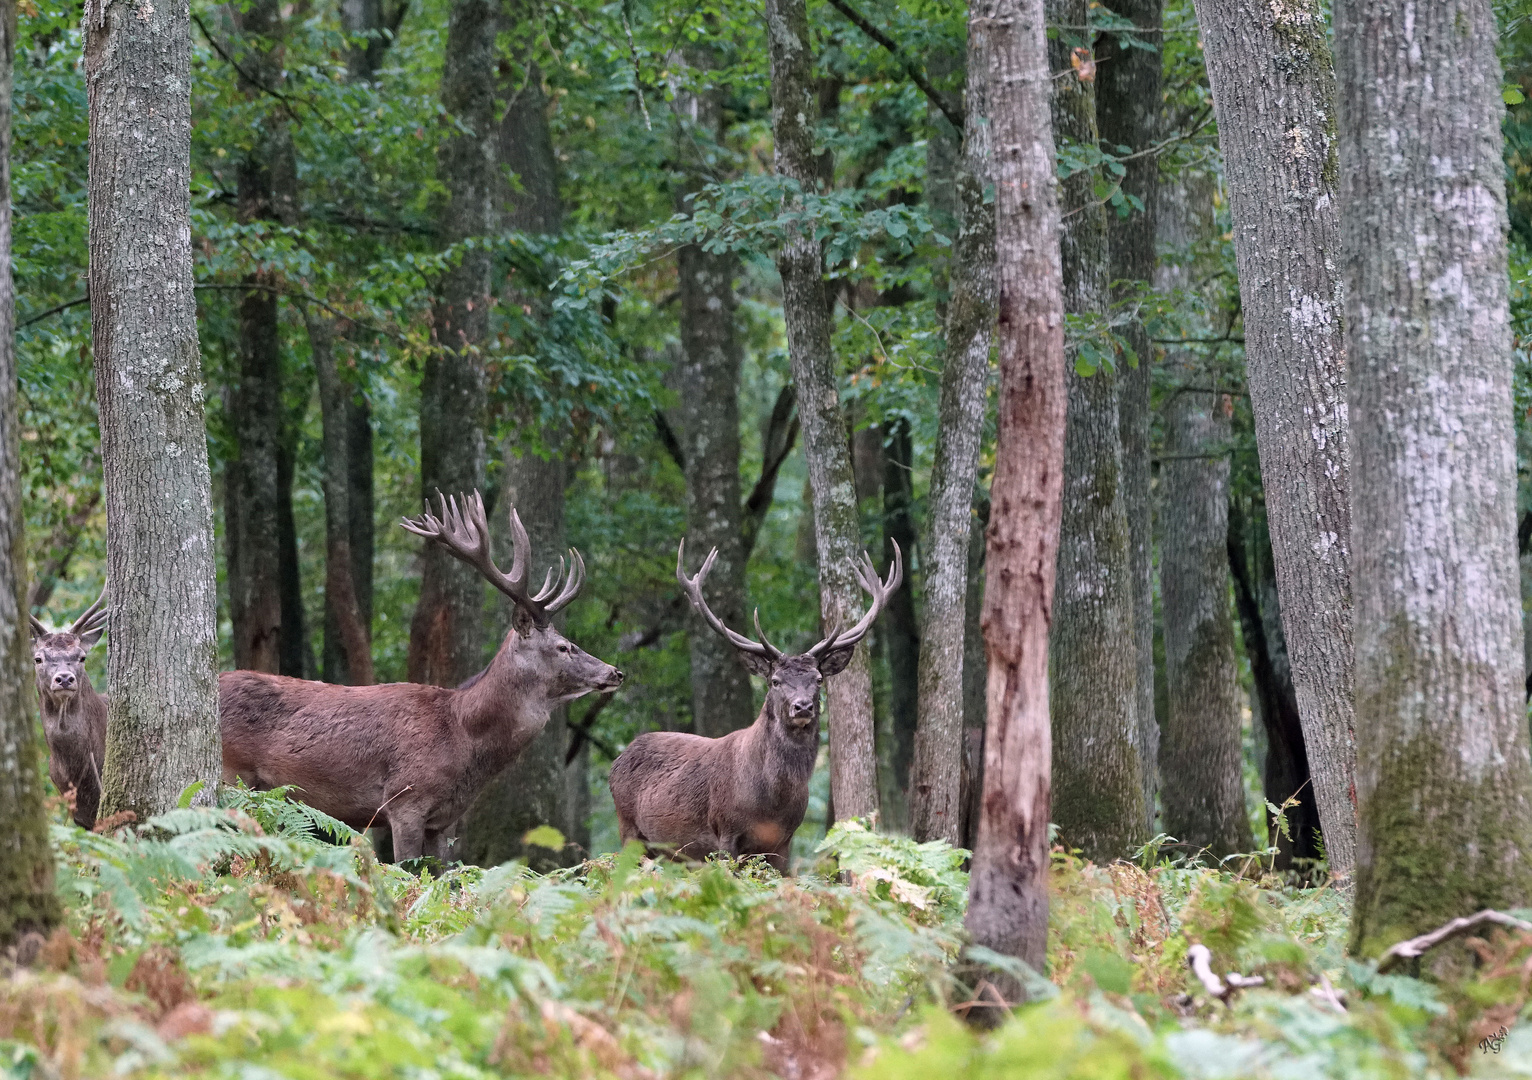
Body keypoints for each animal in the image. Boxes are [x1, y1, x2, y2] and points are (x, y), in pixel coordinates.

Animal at [217, 496, 621, 857]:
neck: (461, 737)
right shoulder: (404, 799)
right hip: (231, 772)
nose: (615, 672)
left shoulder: (444, 820)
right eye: (563, 646)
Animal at [606, 536, 894, 870]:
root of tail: (618, 759)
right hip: (628, 827)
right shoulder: (725, 831)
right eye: (775, 681)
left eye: (819, 679)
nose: (802, 706)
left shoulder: (784, 842)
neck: (771, 804)